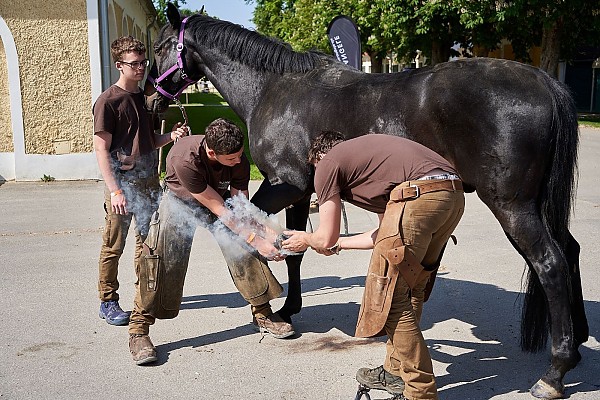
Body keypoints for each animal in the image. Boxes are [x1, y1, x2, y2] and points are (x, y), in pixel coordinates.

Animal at [148, 3, 588, 396]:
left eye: (161, 45)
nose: (152, 99)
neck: (275, 89)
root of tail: (544, 81)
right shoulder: (303, 191)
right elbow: (294, 252)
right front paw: (288, 309)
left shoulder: (284, 184)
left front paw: (271, 310)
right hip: (539, 206)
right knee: (570, 251)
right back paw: (578, 340)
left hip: (513, 206)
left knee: (550, 263)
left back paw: (554, 372)